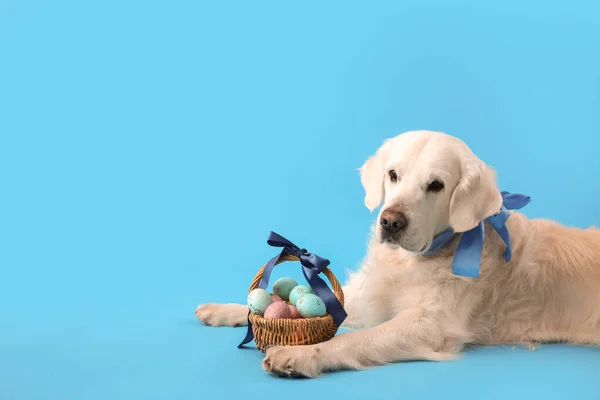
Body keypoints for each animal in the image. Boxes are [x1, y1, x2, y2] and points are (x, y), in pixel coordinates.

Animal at [197, 130, 600, 376]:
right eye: (393, 174)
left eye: (436, 185)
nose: (390, 222)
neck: (415, 260)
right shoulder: (370, 297)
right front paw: (221, 309)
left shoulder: (431, 325)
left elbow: (354, 339)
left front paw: (298, 354)